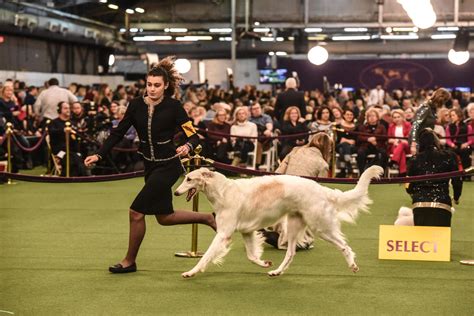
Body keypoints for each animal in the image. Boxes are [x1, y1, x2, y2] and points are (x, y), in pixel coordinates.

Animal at [176, 165, 384, 276]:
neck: (224, 191)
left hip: (321, 227)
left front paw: (191, 272)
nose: (176, 192)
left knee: (344, 246)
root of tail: (321, 189)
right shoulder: (247, 231)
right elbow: (252, 256)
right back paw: (276, 271)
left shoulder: (223, 234)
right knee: (290, 253)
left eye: (189, 179)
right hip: (293, 226)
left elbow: (206, 256)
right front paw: (264, 263)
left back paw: (353, 265)